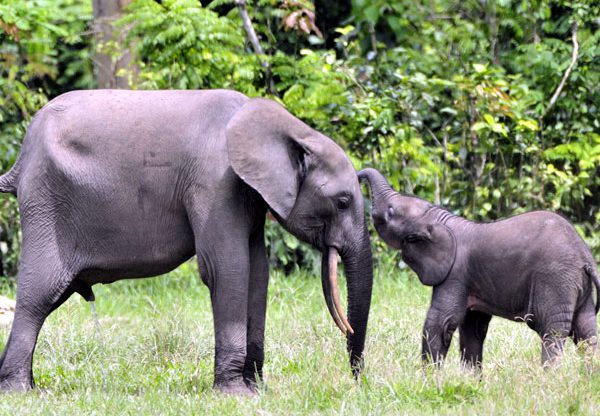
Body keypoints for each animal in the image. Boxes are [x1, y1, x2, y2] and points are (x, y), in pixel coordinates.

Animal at [0, 89, 372, 394]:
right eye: (342, 202)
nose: (356, 381)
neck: (296, 130)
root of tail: (20, 161)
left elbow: (257, 272)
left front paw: (256, 391)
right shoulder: (214, 183)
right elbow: (227, 268)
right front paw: (234, 395)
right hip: (47, 202)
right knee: (40, 292)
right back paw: (20, 391)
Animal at [358, 167, 596, 366]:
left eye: (390, 212)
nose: (358, 175)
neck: (438, 218)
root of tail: (585, 257)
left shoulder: (454, 274)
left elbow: (441, 322)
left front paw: (431, 379)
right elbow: (472, 329)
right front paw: (470, 381)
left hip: (556, 280)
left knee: (552, 332)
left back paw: (547, 377)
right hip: (579, 287)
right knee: (586, 332)